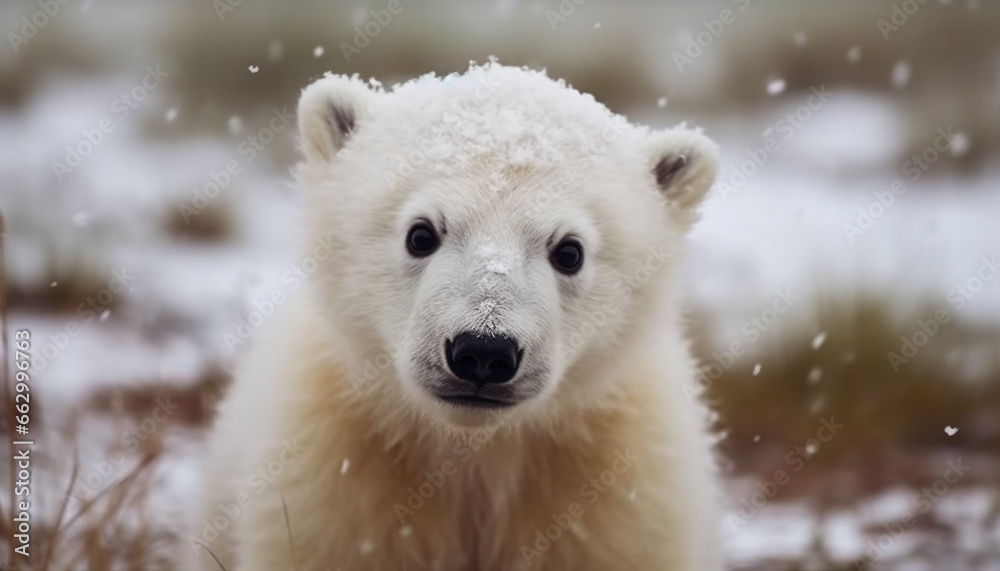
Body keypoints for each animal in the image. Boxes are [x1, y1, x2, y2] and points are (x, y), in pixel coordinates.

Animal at [184, 62, 724, 571]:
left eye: (570, 251)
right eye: (420, 234)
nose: (484, 351)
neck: (475, 453)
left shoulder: (618, 501)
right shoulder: (334, 482)